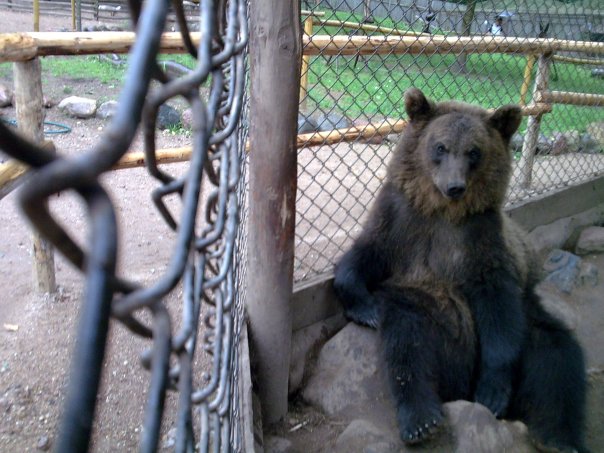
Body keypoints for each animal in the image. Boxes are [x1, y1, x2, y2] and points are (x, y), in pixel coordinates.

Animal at [332, 88, 588, 452]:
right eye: (440, 147)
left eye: (474, 151)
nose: (455, 186)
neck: (444, 212)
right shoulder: (401, 222)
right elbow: (366, 253)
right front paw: (365, 307)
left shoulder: (481, 239)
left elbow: (499, 311)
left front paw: (492, 392)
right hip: (423, 310)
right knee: (407, 346)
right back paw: (422, 420)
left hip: (532, 320)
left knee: (556, 360)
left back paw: (557, 437)